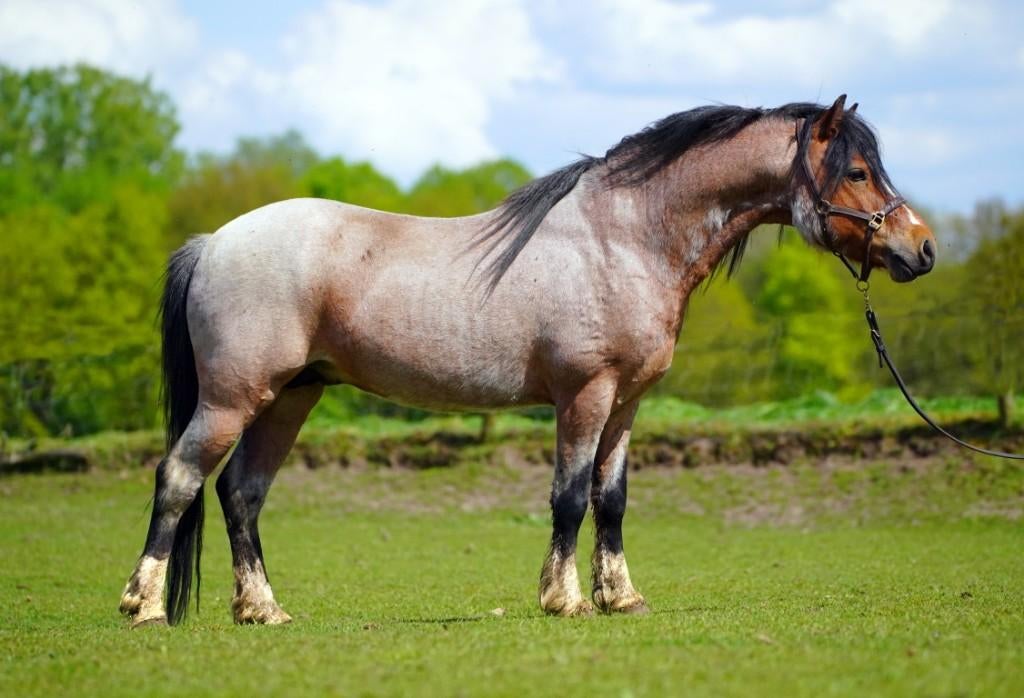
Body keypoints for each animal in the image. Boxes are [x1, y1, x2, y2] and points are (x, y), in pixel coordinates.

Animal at [119, 95, 936, 627]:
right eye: (856, 171)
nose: (921, 248)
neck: (623, 237)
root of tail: (213, 243)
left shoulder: (628, 403)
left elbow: (611, 500)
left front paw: (620, 597)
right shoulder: (585, 395)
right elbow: (569, 497)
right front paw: (563, 599)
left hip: (292, 396)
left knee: (242, 494)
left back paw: (263, 611)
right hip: (233, 397)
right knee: (180, 477)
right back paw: (145, 605)